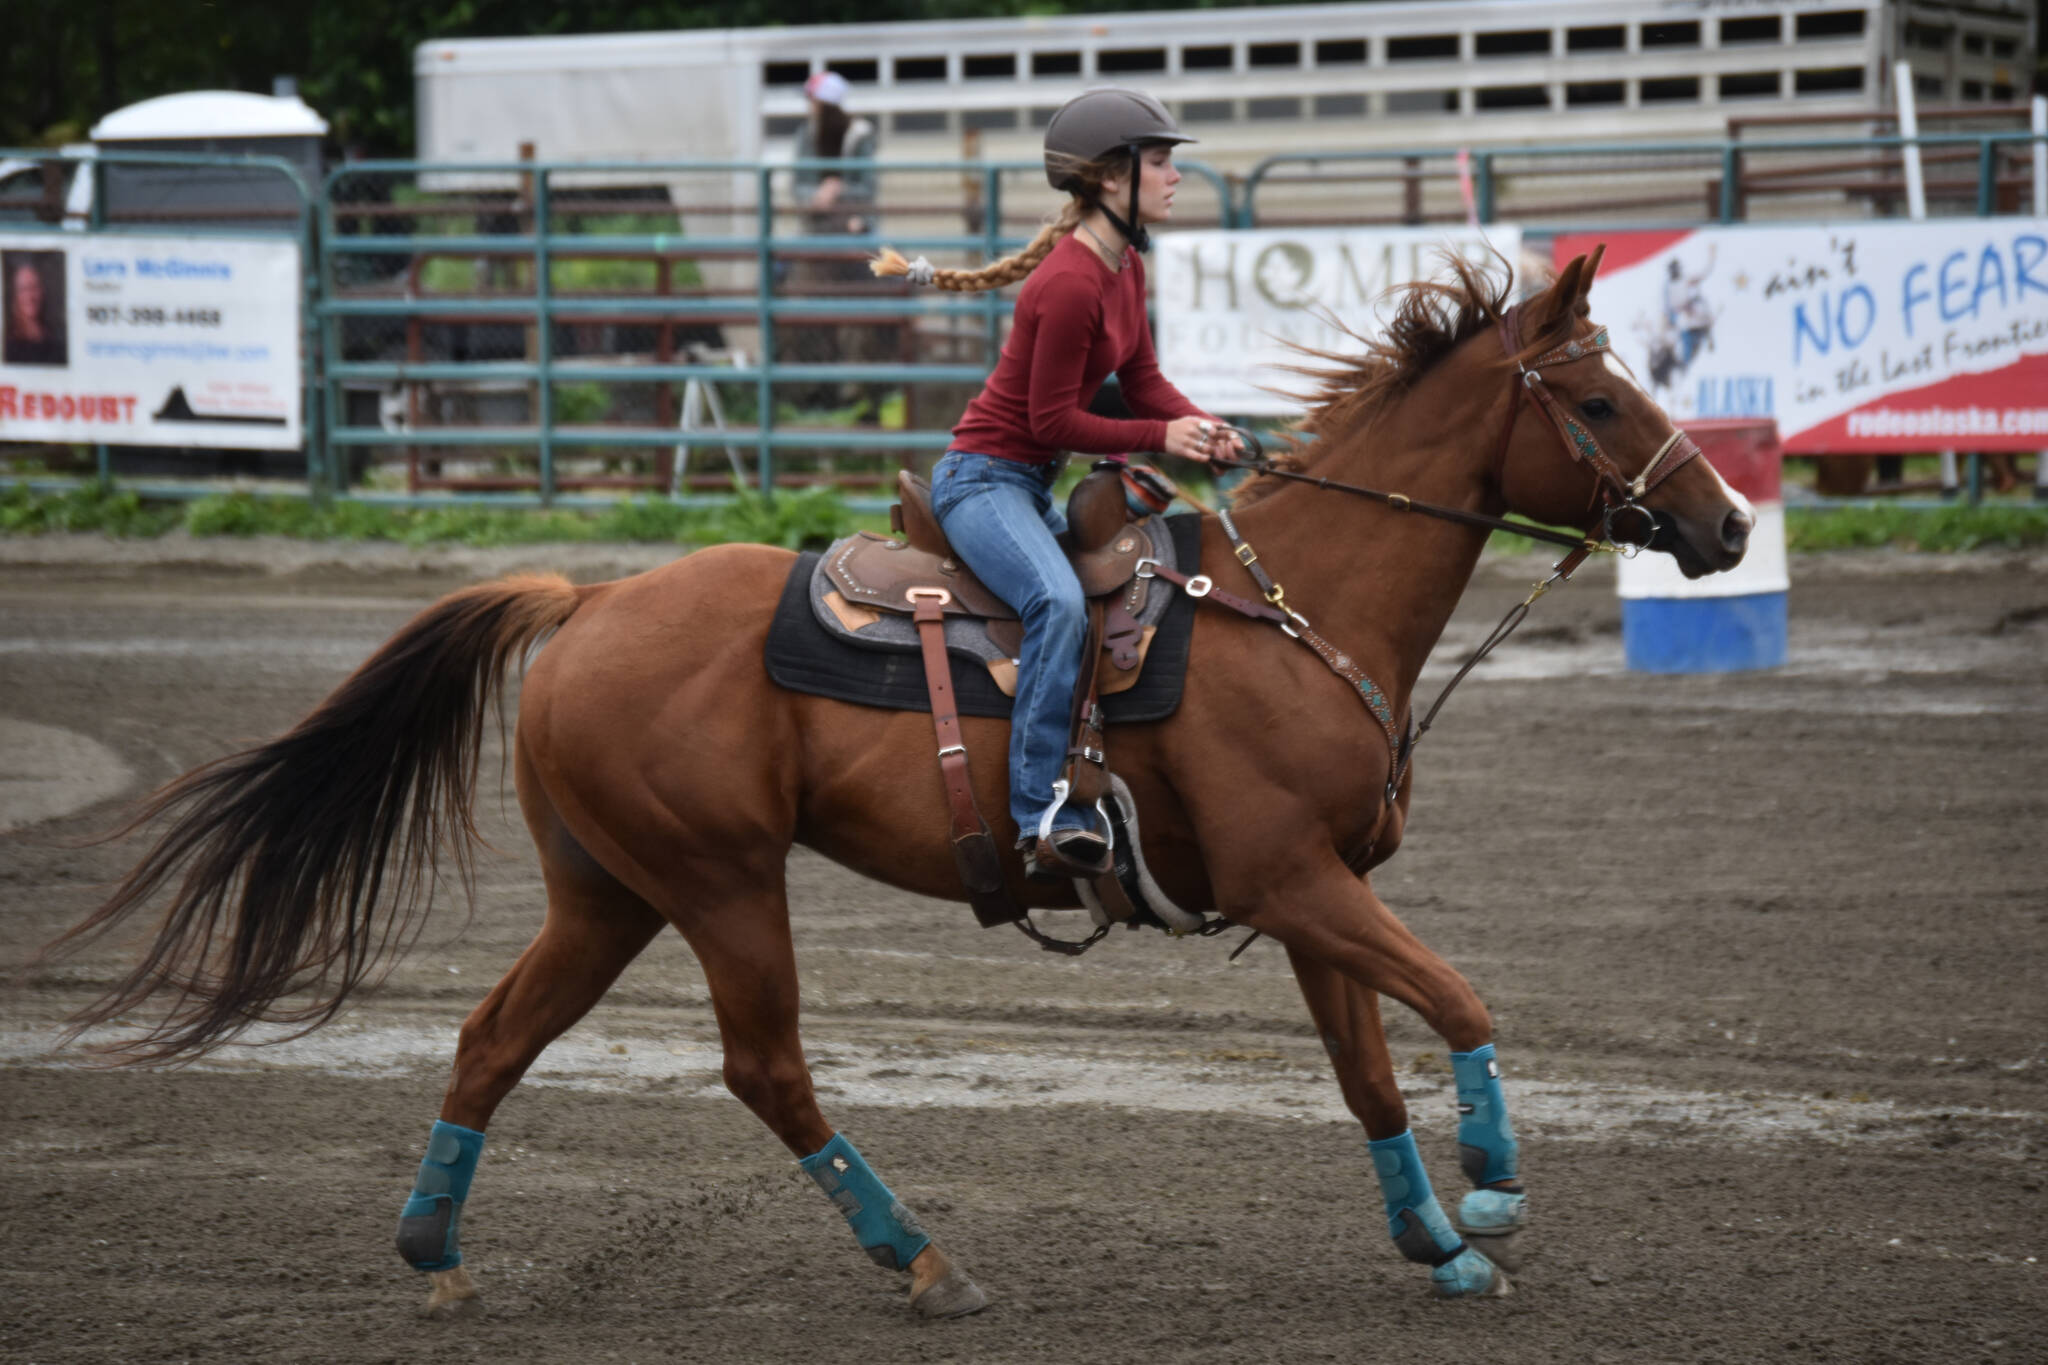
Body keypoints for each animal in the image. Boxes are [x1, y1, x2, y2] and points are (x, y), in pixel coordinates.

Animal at [48, 250, 1744, 1317]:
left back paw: (433, 1252)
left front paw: (1437, 1242)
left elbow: (1371, 1071)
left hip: (607, 893)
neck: (1296, 607)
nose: (1727, 526)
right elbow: (1459, 1001)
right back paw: (920, 1259)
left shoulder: (1313, 894)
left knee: (490, 1038)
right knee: (764, 1069)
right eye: (1600, 400)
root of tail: (584, 605)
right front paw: (1498, 1191)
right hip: (723, 883)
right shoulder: (1295, 880)